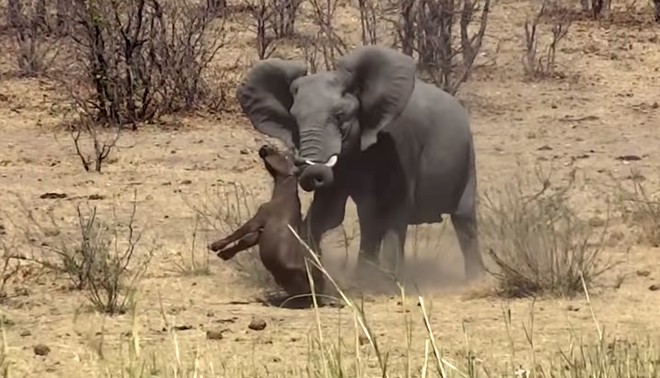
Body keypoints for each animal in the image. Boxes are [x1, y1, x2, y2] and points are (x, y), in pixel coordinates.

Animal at [233, 45, 484, 280]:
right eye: (294, 120)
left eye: (340, 116)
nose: (307, 171)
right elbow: (328, 213)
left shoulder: (400, 144)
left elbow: (394, 210)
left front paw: (388, 283)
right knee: (368, 221)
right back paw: (363, 275)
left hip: (467, 158)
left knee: (464, 220)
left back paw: (474, 280)